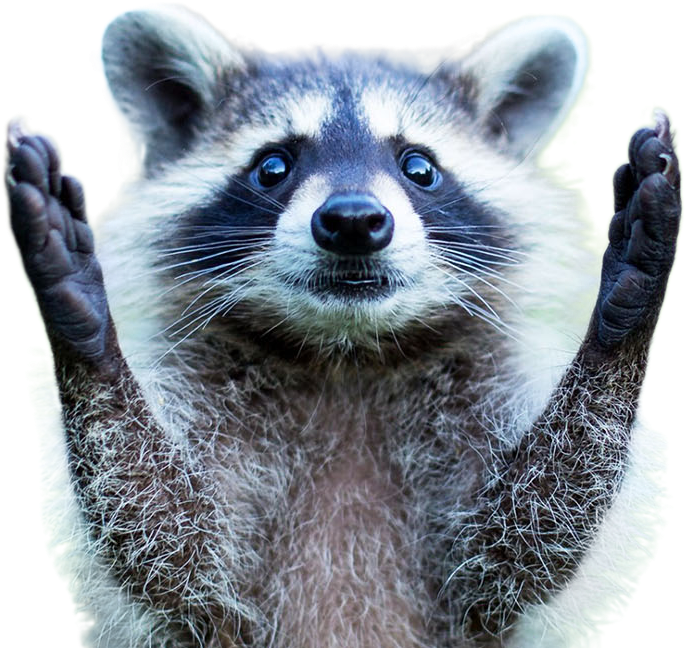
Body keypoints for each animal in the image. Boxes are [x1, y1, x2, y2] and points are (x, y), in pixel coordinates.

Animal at [3, 3, 680, 647]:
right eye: (273, 166)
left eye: (419, 168)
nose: (353, 220)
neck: (345, 353)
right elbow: (167, 535)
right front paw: (83, 327)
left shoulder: (479, 402)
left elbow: (527, 532)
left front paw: (622, 319)